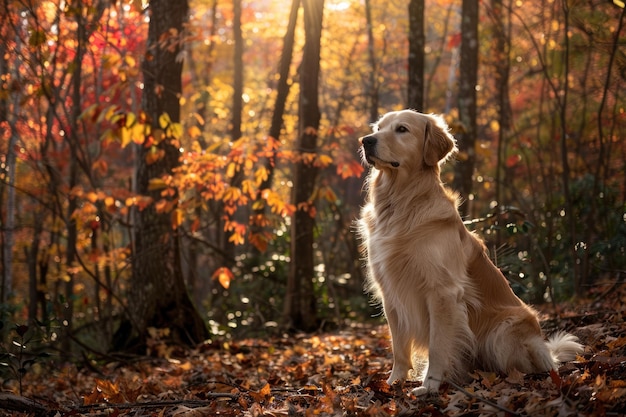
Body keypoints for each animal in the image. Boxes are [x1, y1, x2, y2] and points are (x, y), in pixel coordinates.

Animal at [358, 109, 584, 394]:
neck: (401, 202)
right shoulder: (391, 292)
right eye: (378, 128)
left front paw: (430, 386)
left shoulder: (442, 292)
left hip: (503, 331)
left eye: (402, 129)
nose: (366, 141)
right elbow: (399, 348)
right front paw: (393, 382)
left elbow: (438, 345)